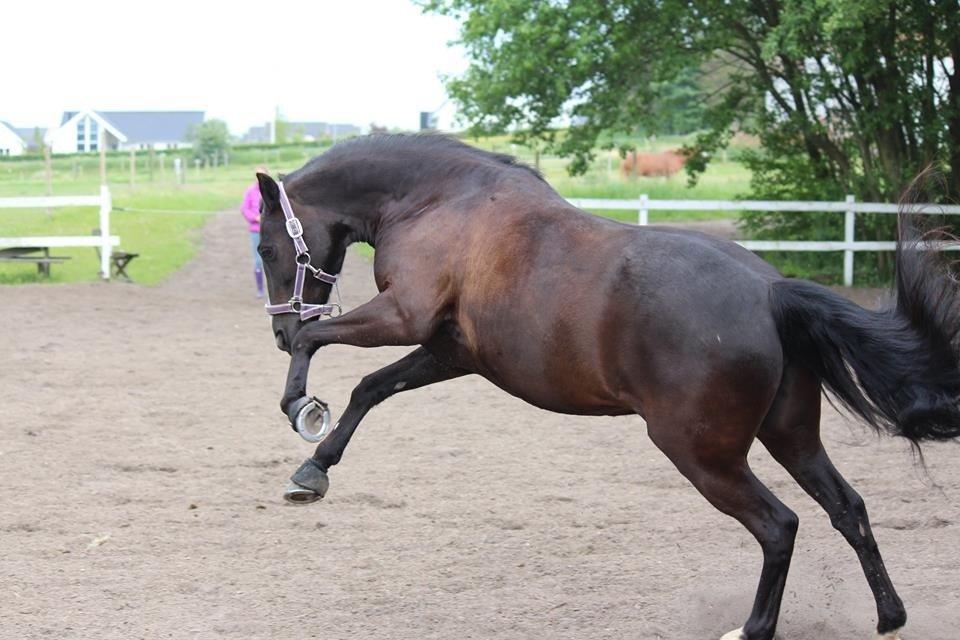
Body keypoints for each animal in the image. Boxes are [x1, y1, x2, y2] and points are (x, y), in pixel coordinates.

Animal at [253, 134, 960, 640]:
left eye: (265, 249)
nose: (278, 331)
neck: (437, 200)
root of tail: (770, 291)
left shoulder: (405, 316)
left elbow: (326, 346)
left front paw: (299, 407)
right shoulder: (452, 350)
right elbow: (371, 389)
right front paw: (313, 469)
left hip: (702, 454)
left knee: (779, 525)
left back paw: (753, 629)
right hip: (790, 437)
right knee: (849, 509)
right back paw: (890, 618)